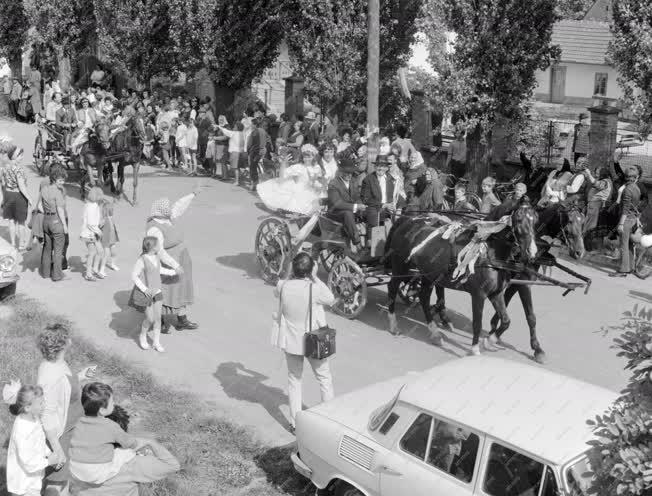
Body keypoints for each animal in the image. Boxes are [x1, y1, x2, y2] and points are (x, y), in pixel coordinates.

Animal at [384, 200, 536, 358]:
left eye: (535, 220)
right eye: (519, 219)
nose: (532, 252)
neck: (488, 253)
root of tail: (406, 220)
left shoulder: (496, 293)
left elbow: (506, 321)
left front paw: (489, 341)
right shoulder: (478, 295)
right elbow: (477, 323)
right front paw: (475, 349)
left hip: (428, 275)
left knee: (424, 297)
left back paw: (435, 333)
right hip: (401, 267)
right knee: (392, 288)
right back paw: (393, 325)